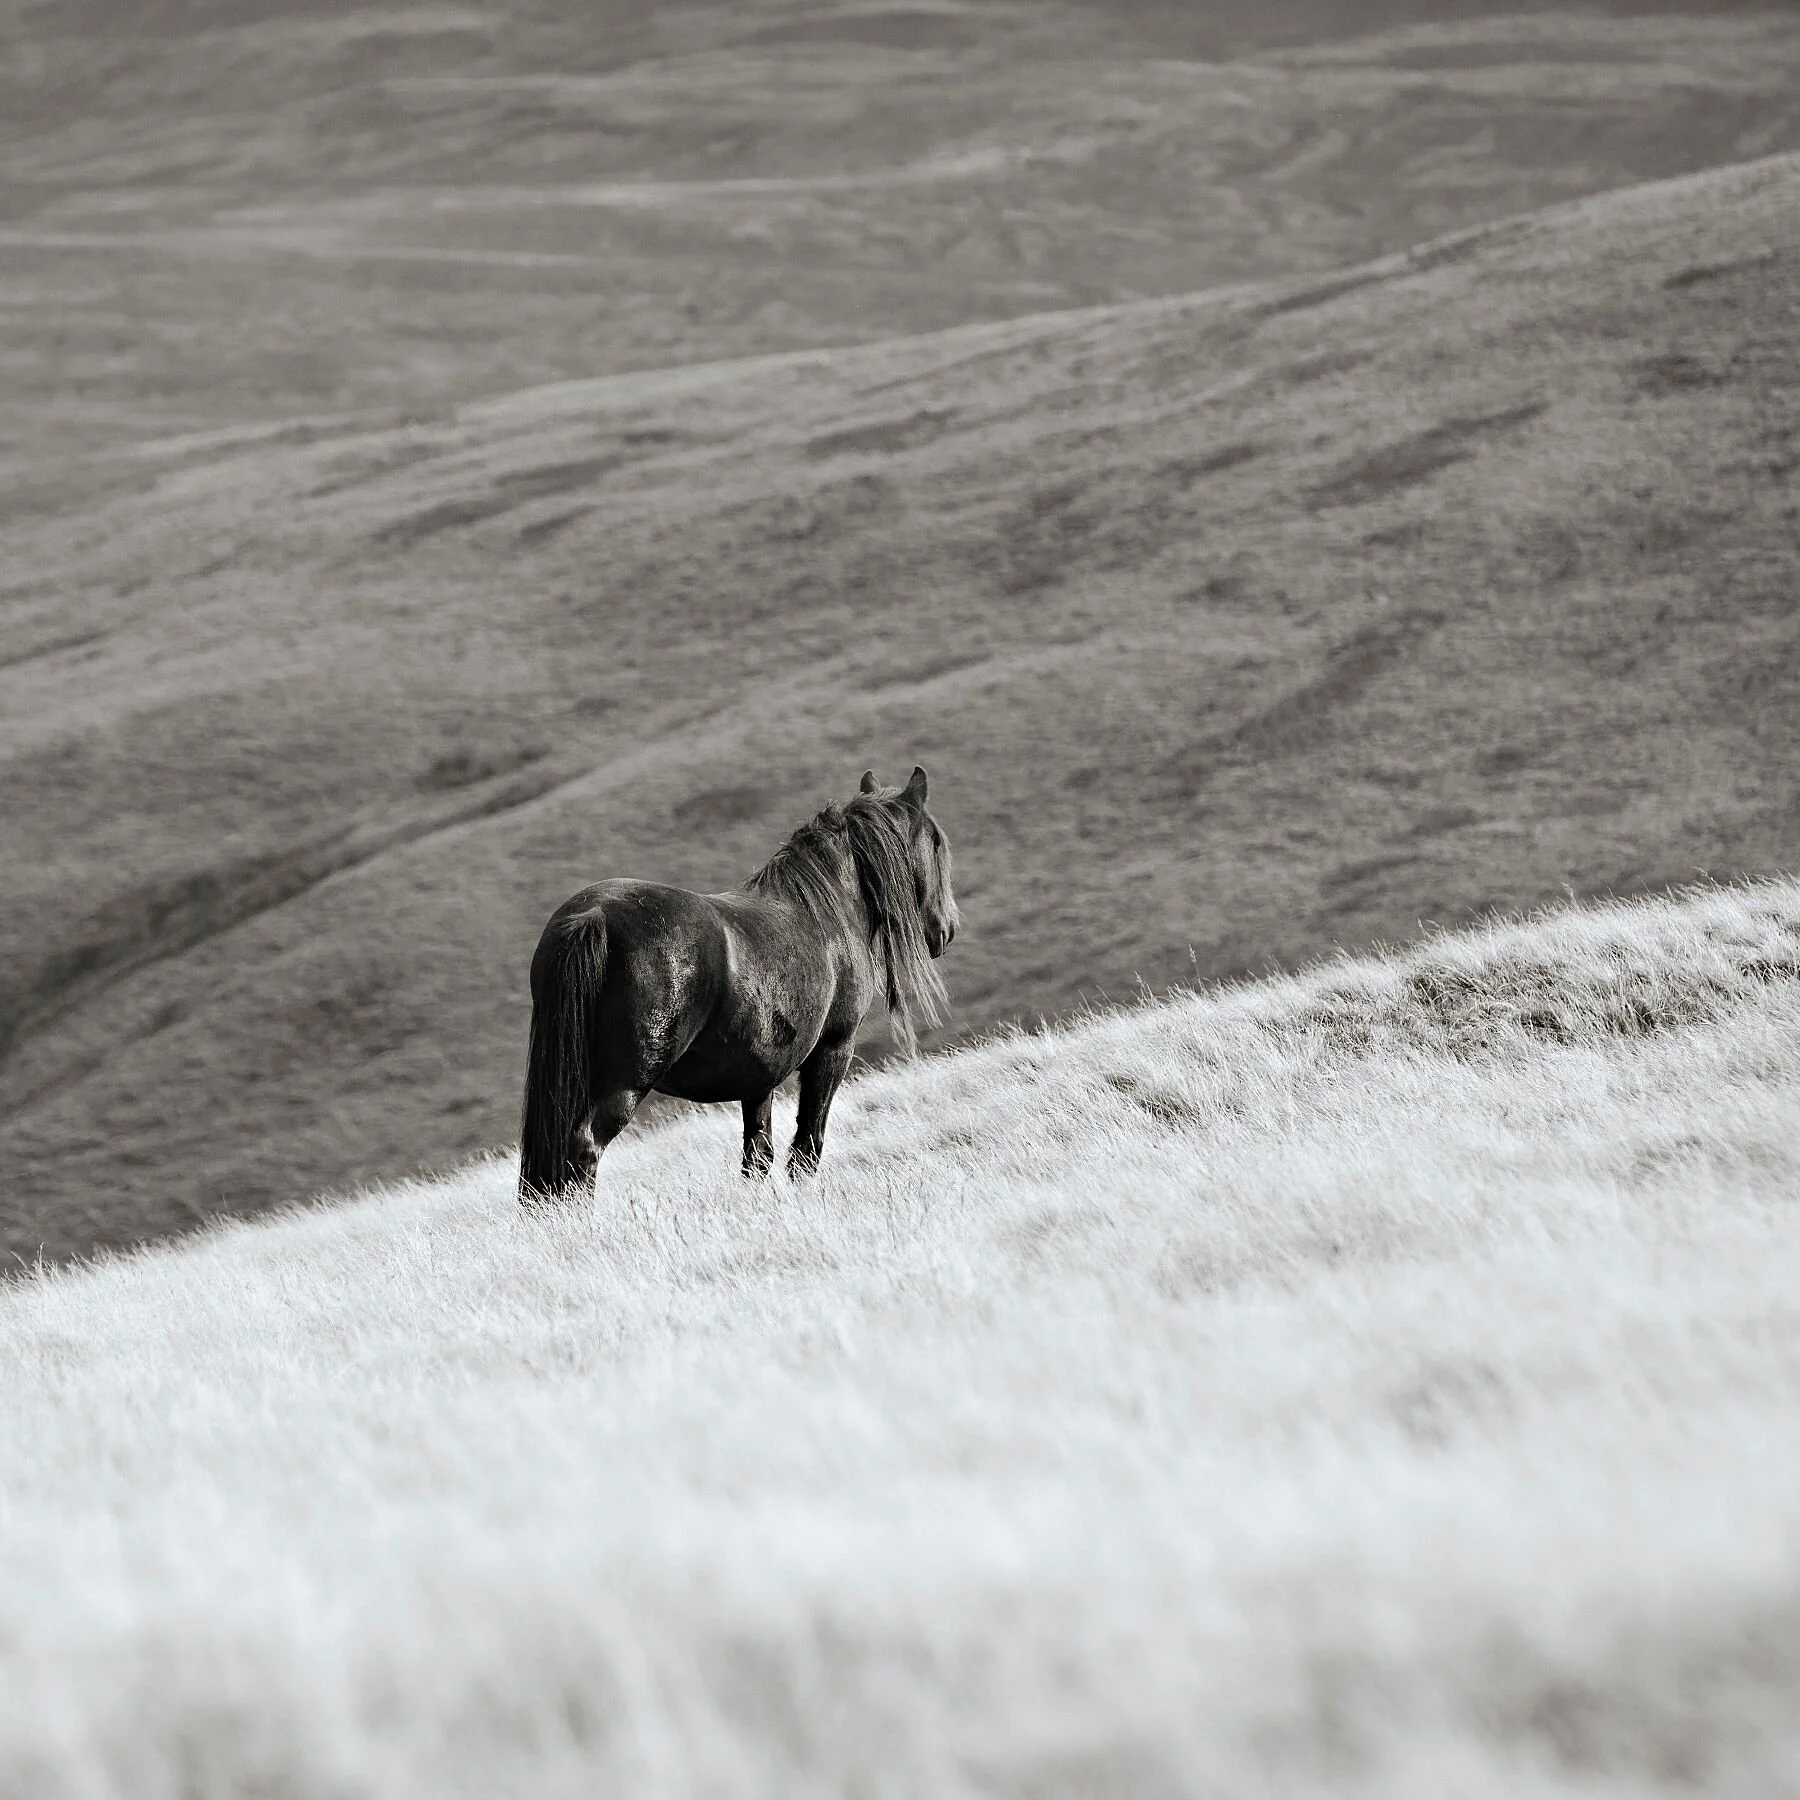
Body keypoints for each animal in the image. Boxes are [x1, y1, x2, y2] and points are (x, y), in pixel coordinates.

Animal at [517, 765, 959, 1200]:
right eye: (937, 842)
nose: (946, 930)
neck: (828, 911)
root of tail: (594, 915)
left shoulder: (760, 1072)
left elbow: (758, 1153)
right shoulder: (833, 1049)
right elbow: (807, 1144)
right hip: (623, 1081)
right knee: (583, 1150)